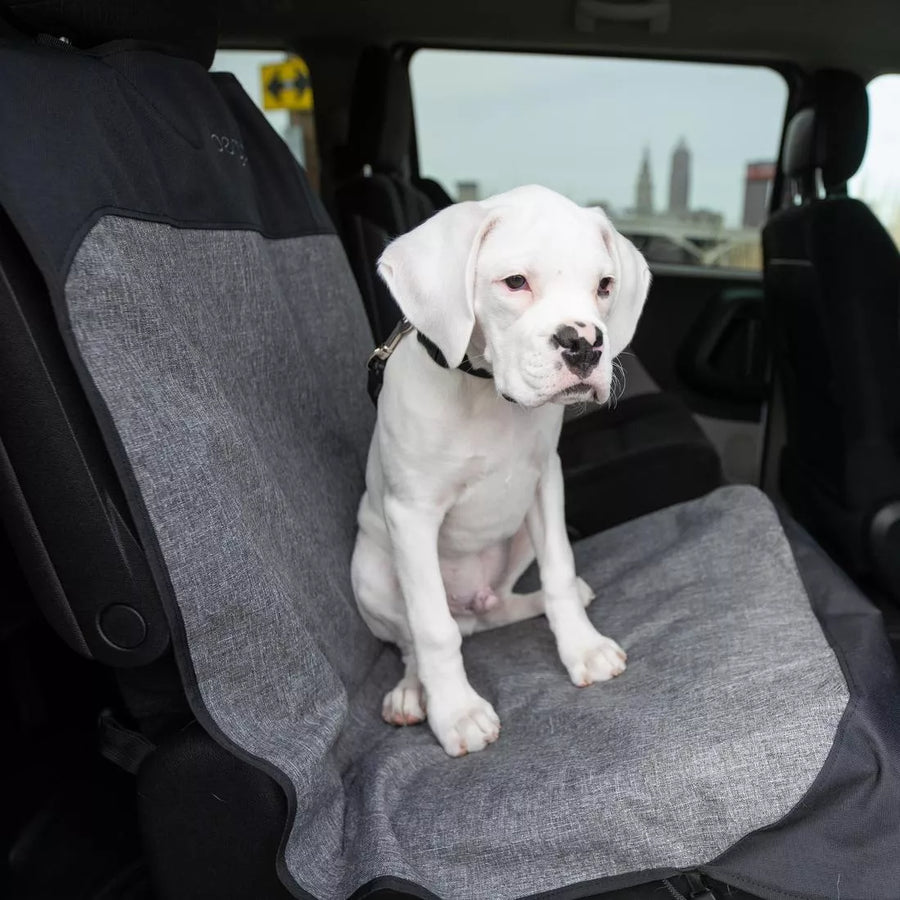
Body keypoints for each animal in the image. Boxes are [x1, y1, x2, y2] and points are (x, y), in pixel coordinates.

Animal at [348, 186, 652, 756]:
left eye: (604, 286)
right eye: (515, 282)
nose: (585, 343)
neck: (485, 393)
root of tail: (471, 608)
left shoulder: (545, 481)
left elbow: (560, 571)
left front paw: (582, 647)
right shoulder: (412, 514)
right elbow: (431, 629)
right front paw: (456, 712)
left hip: (516, 547)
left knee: (499, 608)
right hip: (372, 573)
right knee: (414, 639)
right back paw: (412, 692)